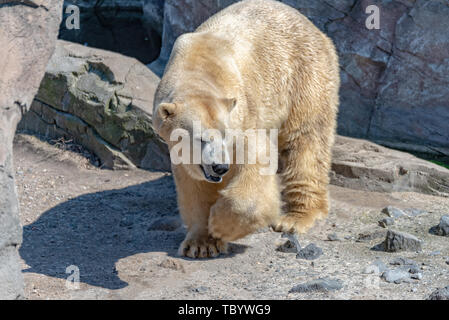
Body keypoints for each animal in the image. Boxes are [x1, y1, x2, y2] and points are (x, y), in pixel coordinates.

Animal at [152, 0, 338, 258]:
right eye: (200, 138)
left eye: (225, 136)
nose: (220, 167)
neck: (196, 69)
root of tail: (316, 30)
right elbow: (193, 184)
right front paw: (202, 243)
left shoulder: (243, 113)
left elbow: (256, 162)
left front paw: (221, 225)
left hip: (305, 75)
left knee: (305, 142)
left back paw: (295, 218)